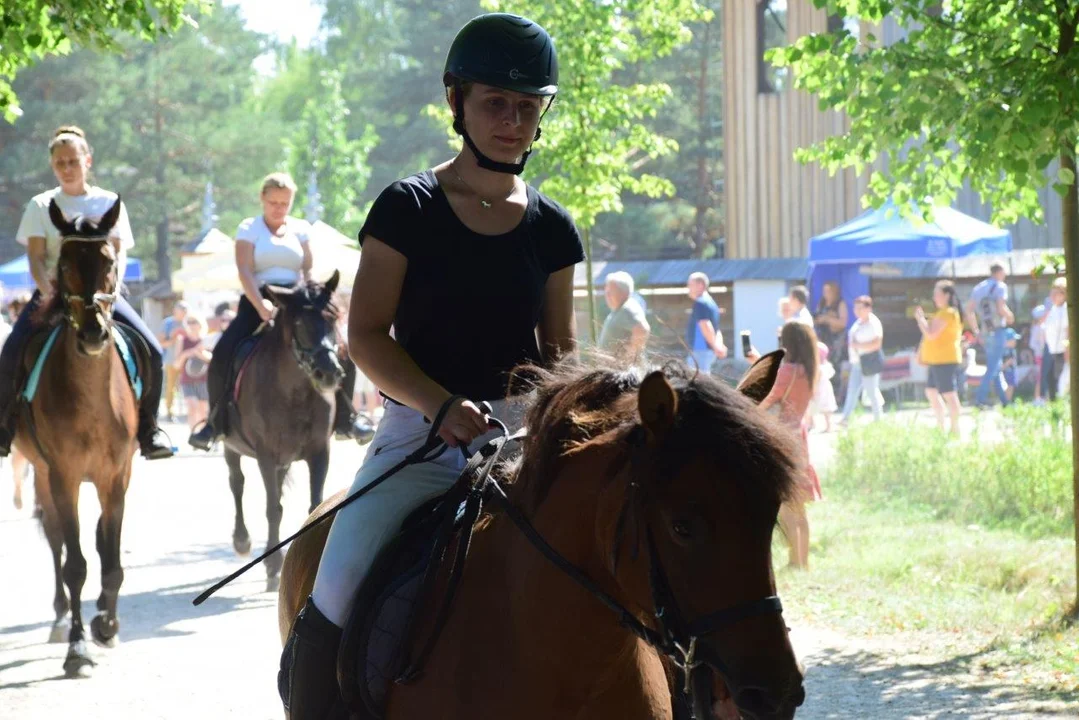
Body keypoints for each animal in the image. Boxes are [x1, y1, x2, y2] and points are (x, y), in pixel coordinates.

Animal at [15, 199, 142, 677]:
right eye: (65, 263)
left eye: (108, 261)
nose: (92, 334)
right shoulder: (64, 476)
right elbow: (75, 565)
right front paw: (78, 648)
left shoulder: (117, 476)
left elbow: (111, 557)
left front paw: (107, 623)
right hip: (42, 473)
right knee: (55, 540)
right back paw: (58, 620)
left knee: (101, 540)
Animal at [223, 269, 345, 591]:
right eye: (301, 323)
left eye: (334, 318)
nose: (328, 373)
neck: (294, 391)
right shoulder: (266, 454)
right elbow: (272, 509)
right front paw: (272, 566)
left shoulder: (320, 451)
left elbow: (315, 504)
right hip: (231, 447)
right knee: (237, 483)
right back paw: (242, 541)